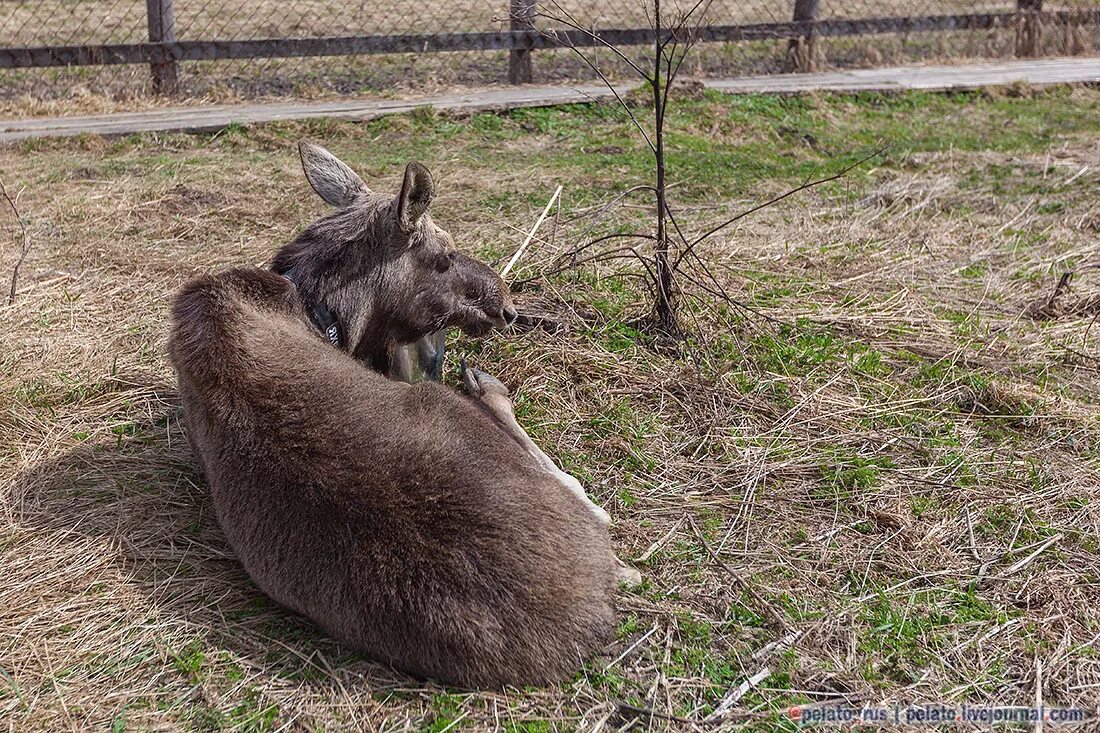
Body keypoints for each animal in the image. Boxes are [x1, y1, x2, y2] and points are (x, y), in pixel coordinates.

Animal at [167, 140, 642, 686]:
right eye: (444, 254)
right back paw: (486, 386)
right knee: (593, 508)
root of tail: (588, 617)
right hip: (443, 404)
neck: (321, 311)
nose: (506, 305)